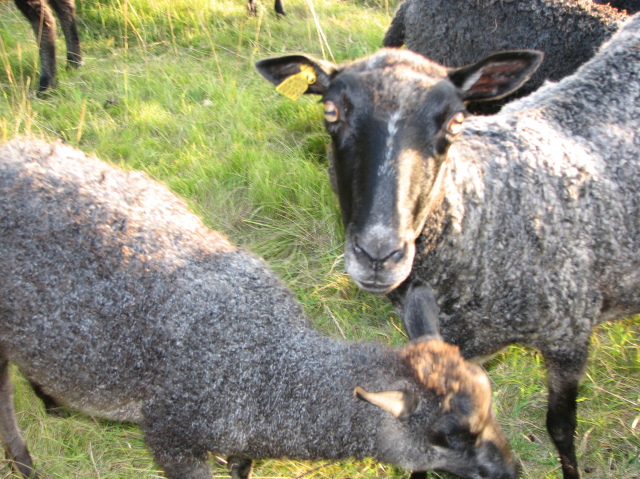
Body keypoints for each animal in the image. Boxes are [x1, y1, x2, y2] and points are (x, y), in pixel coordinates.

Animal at [0, 138, 516, 479]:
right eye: (446, 437)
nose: (512, 471)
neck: (272, 367)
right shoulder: (171, 435)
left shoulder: (242, 437)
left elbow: (242, 464)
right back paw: (24, 461)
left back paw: (52, 402)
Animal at [255, 12, 640, 479]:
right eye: (331, 111)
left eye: (456, 122)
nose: (378, 255)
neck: (488, 211)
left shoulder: (569, 336)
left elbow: (561, 430)